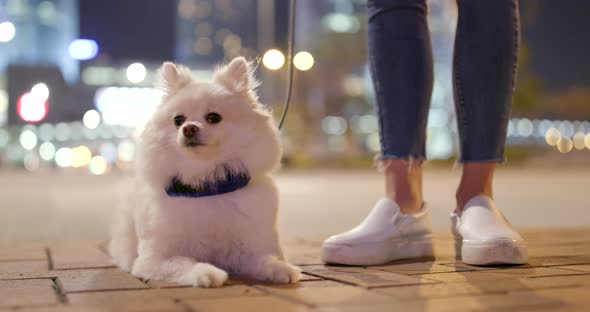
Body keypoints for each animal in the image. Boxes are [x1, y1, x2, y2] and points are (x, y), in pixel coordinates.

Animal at [110, 56, 302, 288]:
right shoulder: (154, 259)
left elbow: (266, 259)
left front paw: (282, 268)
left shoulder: (248, 250)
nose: (189, 128)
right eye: (178, 120)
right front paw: (206, 272)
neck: (207, 186)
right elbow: (183, 263)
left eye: (213, 117)